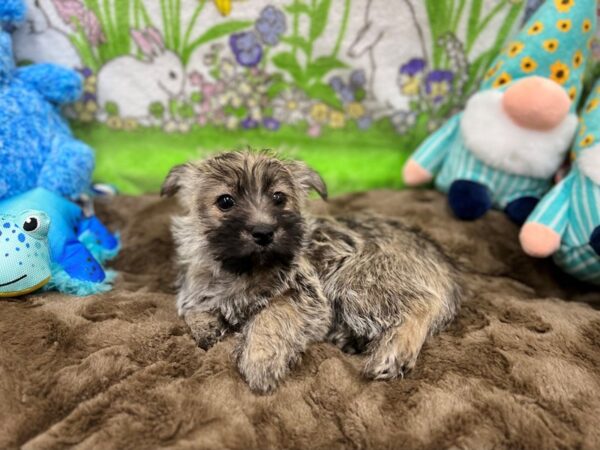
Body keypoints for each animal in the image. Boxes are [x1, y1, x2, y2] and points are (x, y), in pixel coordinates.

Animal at [162, 152, 462, 394]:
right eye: (225, 201)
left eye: (279, 198)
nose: (263, 232)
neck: (242, 269)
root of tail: (443, 265)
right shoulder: (197, 289)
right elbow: (194, 309)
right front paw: (208, 327)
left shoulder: (302, 293)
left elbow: (270, 317)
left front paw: (259, 361)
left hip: (358, 281)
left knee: (421, 304)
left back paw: (390, 355)